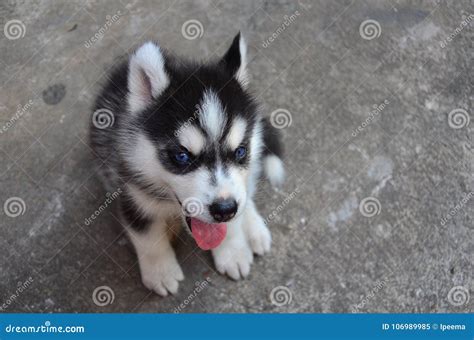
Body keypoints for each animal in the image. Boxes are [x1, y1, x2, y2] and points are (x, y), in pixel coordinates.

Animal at [90, 33, 286, 296]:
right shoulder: (132, 192)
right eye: (182, 157)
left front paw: (232, 251)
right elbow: (147, 236)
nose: (225, 209)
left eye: (240, 151)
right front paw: (160, 272)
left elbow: (234, 218)